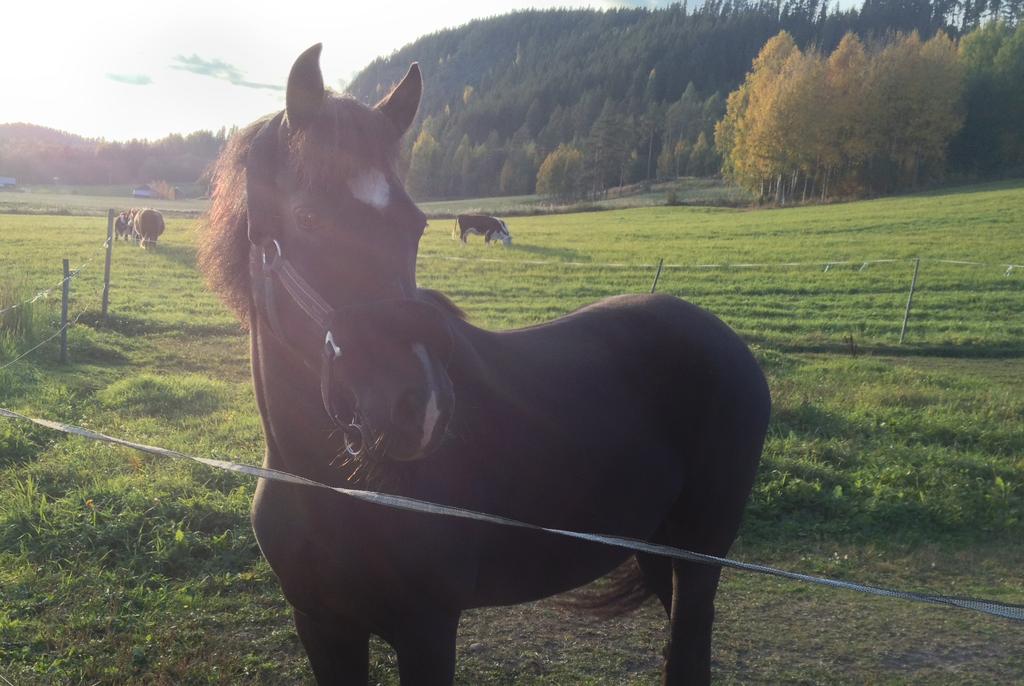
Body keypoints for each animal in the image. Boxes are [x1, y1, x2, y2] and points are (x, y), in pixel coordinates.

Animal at [197, 45, 770, 683]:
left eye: (415, 225)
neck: (330, 487)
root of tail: (723, 339)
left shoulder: (426, 628)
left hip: (697, 555)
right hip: (655, 549)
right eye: (307, 219)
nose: (420, 408)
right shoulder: (321, 626)